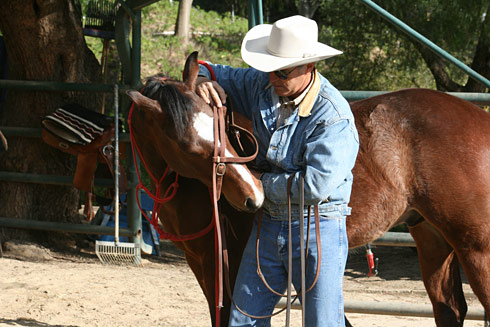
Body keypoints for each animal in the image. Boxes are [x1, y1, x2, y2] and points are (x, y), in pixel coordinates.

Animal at [127, 52, 490, 327]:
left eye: (222, 130)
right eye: (189, 148)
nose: (252, 195)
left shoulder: (229, 261)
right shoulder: (201, 262)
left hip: (476, 249)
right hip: (432, 238)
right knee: (449, 309)